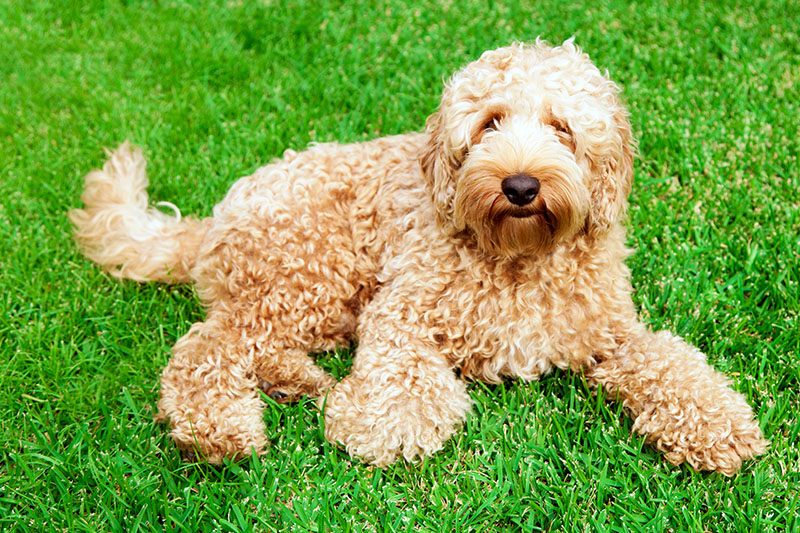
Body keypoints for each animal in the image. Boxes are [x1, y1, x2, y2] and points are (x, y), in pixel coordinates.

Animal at [69, 40, 768, 474]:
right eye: (489, 122)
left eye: (562, 128)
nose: (520, 185)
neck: (517, 256)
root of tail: (216, 217)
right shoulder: (401, 309)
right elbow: (401, 371)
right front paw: (389, 426)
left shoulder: (610, 333)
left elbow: (671, 363)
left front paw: (721, 427)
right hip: (310, 271)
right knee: (206, 348)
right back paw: (221, 432)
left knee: (249, 345)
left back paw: (301, 383)